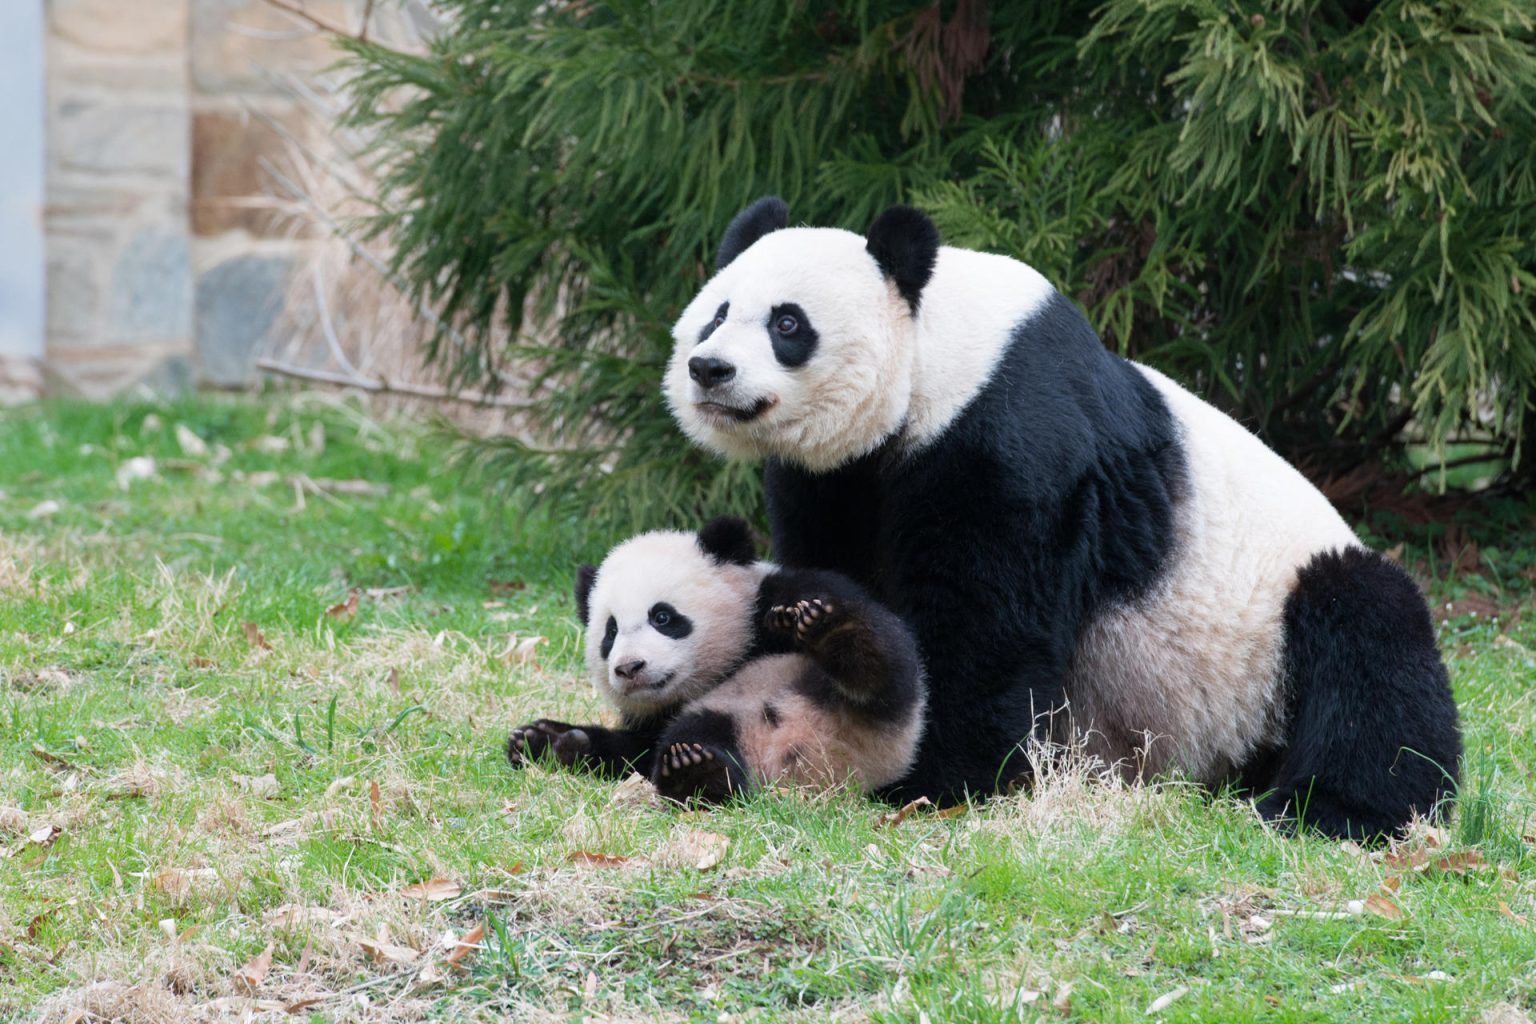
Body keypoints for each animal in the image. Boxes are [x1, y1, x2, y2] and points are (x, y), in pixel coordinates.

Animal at [509, 521, 927, 798]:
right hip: (726, 714)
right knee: (696, 733)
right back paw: (695, 771)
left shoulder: (780, 594)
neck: (730, 661)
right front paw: (541, 739)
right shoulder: (661, 713)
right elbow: (640, 749)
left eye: (662, 617)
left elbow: (892, 638)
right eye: (610, 634)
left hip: (870, 712)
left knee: (886, 676)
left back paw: (839, 636)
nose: (629, 668)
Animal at [663, 196, 1462, 835]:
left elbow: (987, 620)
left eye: (788, 323)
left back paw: (1329, 809)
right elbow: (835, 565)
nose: (711, 370)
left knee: (1370, 648)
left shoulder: (1013, 432)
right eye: (716, 314)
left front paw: (935, 777)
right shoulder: (838, 478)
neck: (936, 357)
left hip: (1270, 635)